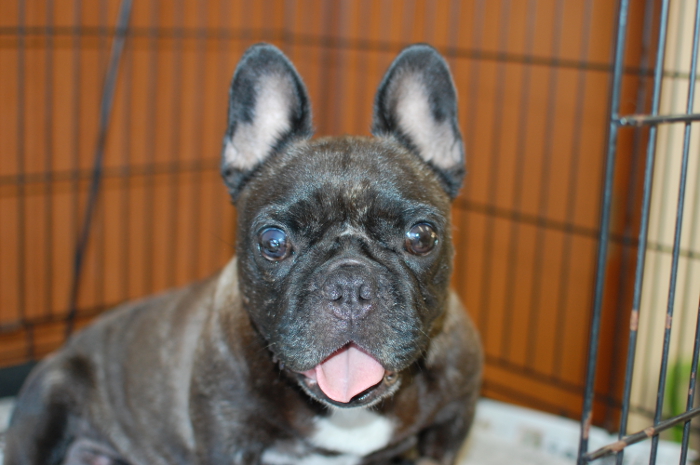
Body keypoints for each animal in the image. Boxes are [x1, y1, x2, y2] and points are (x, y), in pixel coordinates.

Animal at [4, 43, 482, 465]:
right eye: (273, 242)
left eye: (421, 236)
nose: (350, 285)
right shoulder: (227, 434)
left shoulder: (452, 424)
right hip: (49, 398)